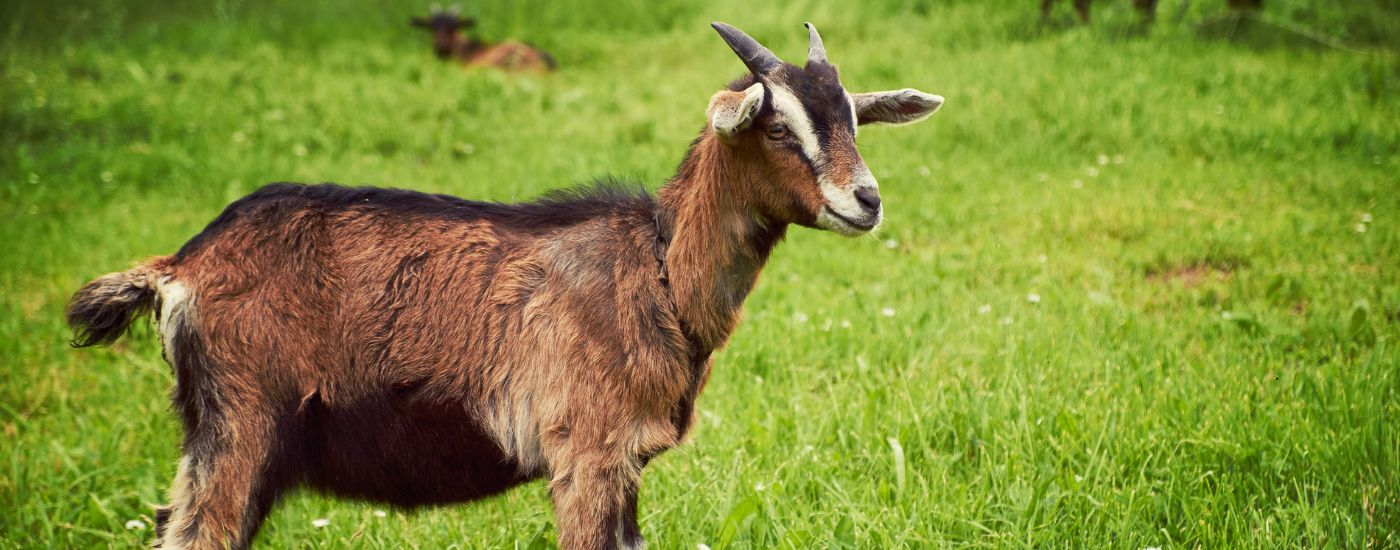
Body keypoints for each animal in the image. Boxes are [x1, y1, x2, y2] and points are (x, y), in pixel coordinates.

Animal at [65, 21, 940, 548]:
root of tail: (181, 267)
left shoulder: (627, 463)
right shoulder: (586, 452)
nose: (866, 200)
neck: (655, 270)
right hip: (240, 426)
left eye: (852, 119)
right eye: (778, 125)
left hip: (214, 439)